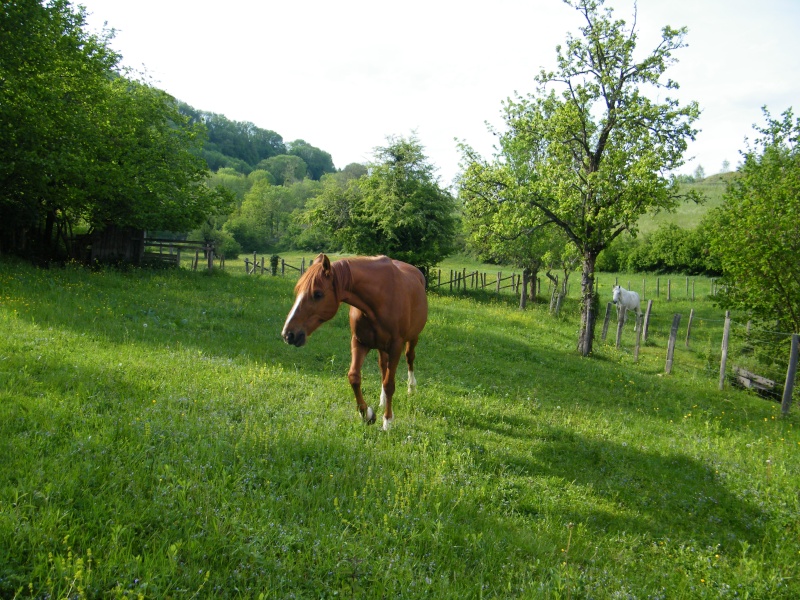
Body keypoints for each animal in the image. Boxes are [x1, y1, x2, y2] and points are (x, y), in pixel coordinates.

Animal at [282, 253, 428, 432]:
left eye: (317, 294)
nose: (288, 334)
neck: (380, 298)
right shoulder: (359, 343)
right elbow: (354, 377)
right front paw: (367, 414)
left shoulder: (395, 346)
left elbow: (390, 384)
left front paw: (387, 421)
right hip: (381, 347)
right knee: (383, 366)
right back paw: (382, 400)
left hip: (412, 338)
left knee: (409, 358)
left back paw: (411, 388)